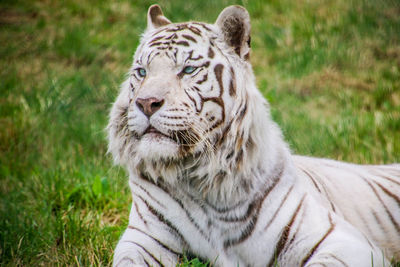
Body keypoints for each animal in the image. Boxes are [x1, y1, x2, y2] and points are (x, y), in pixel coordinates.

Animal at [108, 4, 400, 267]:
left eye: (188, 70)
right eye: (142, 72)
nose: (146, 103)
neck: (198, 178)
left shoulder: (338, 240)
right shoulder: (143, 239)